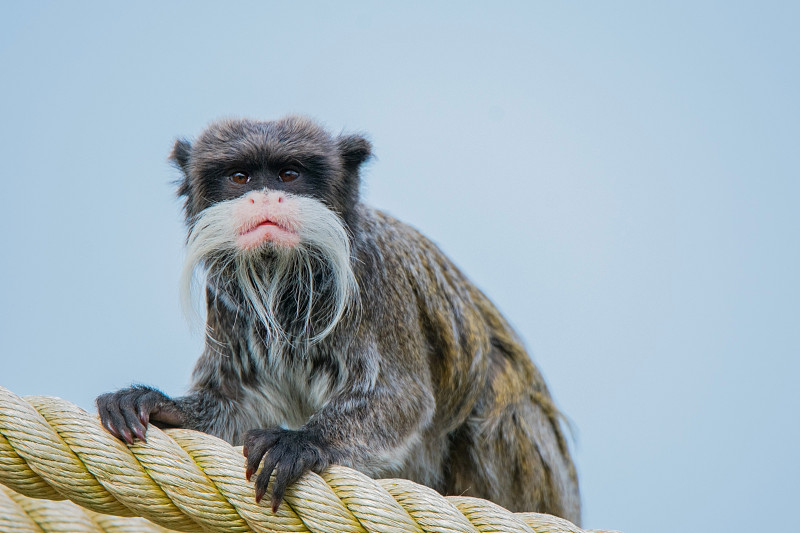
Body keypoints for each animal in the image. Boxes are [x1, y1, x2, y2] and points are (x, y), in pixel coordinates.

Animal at [95, 115, 580, 520]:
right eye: (240, 177)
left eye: (289, 174)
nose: (265, 196)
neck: (285, 278)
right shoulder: (228, 303)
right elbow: (237, 401)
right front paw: (164, 406)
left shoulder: (377, 279)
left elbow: (402, 399)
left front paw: (305, 441)